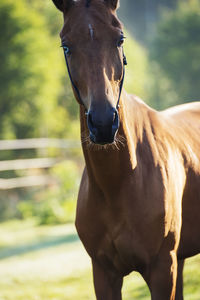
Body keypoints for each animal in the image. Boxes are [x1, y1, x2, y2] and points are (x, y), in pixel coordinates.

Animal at [51, 1, 200, 298]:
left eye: (120, 39)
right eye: (66, 46)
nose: (103, 122)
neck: (120, 182)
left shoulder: (162, 269)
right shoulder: (104, 274)